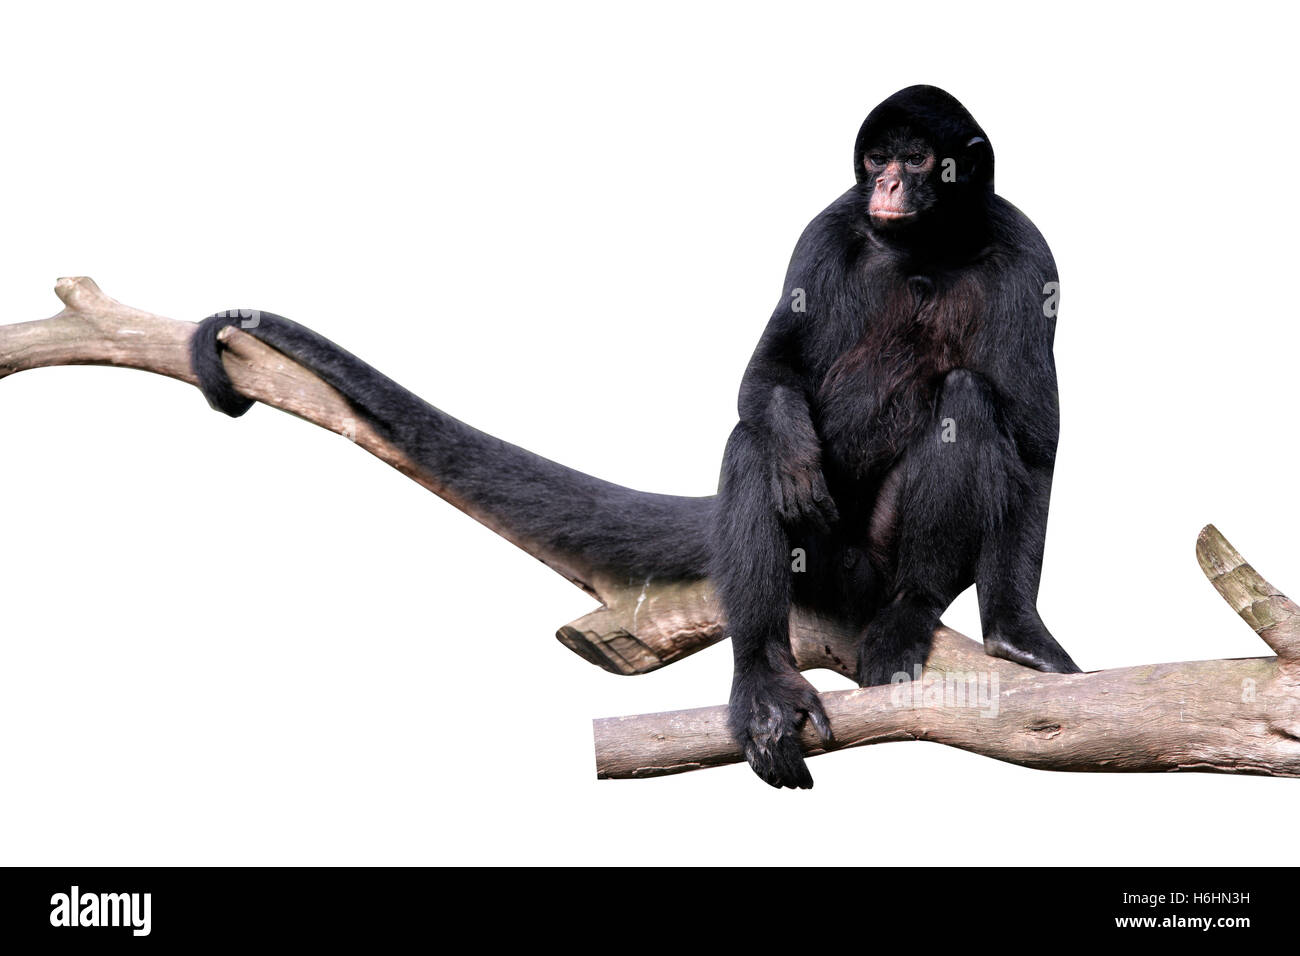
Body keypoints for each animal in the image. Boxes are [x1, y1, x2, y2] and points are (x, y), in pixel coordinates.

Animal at [192, 85, 1081, 790]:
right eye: (876, 159)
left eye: (920, 160)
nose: (890, 182)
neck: (924, 247)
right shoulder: (829, 224)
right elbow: (765, 377)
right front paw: (791, 448)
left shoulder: (1028, 252)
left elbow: (1037, 444)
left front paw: (1019, 632)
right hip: (827, 556)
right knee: (753, 442)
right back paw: (763, 678)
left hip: (873, 560)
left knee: (965, 398)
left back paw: (904, 614)